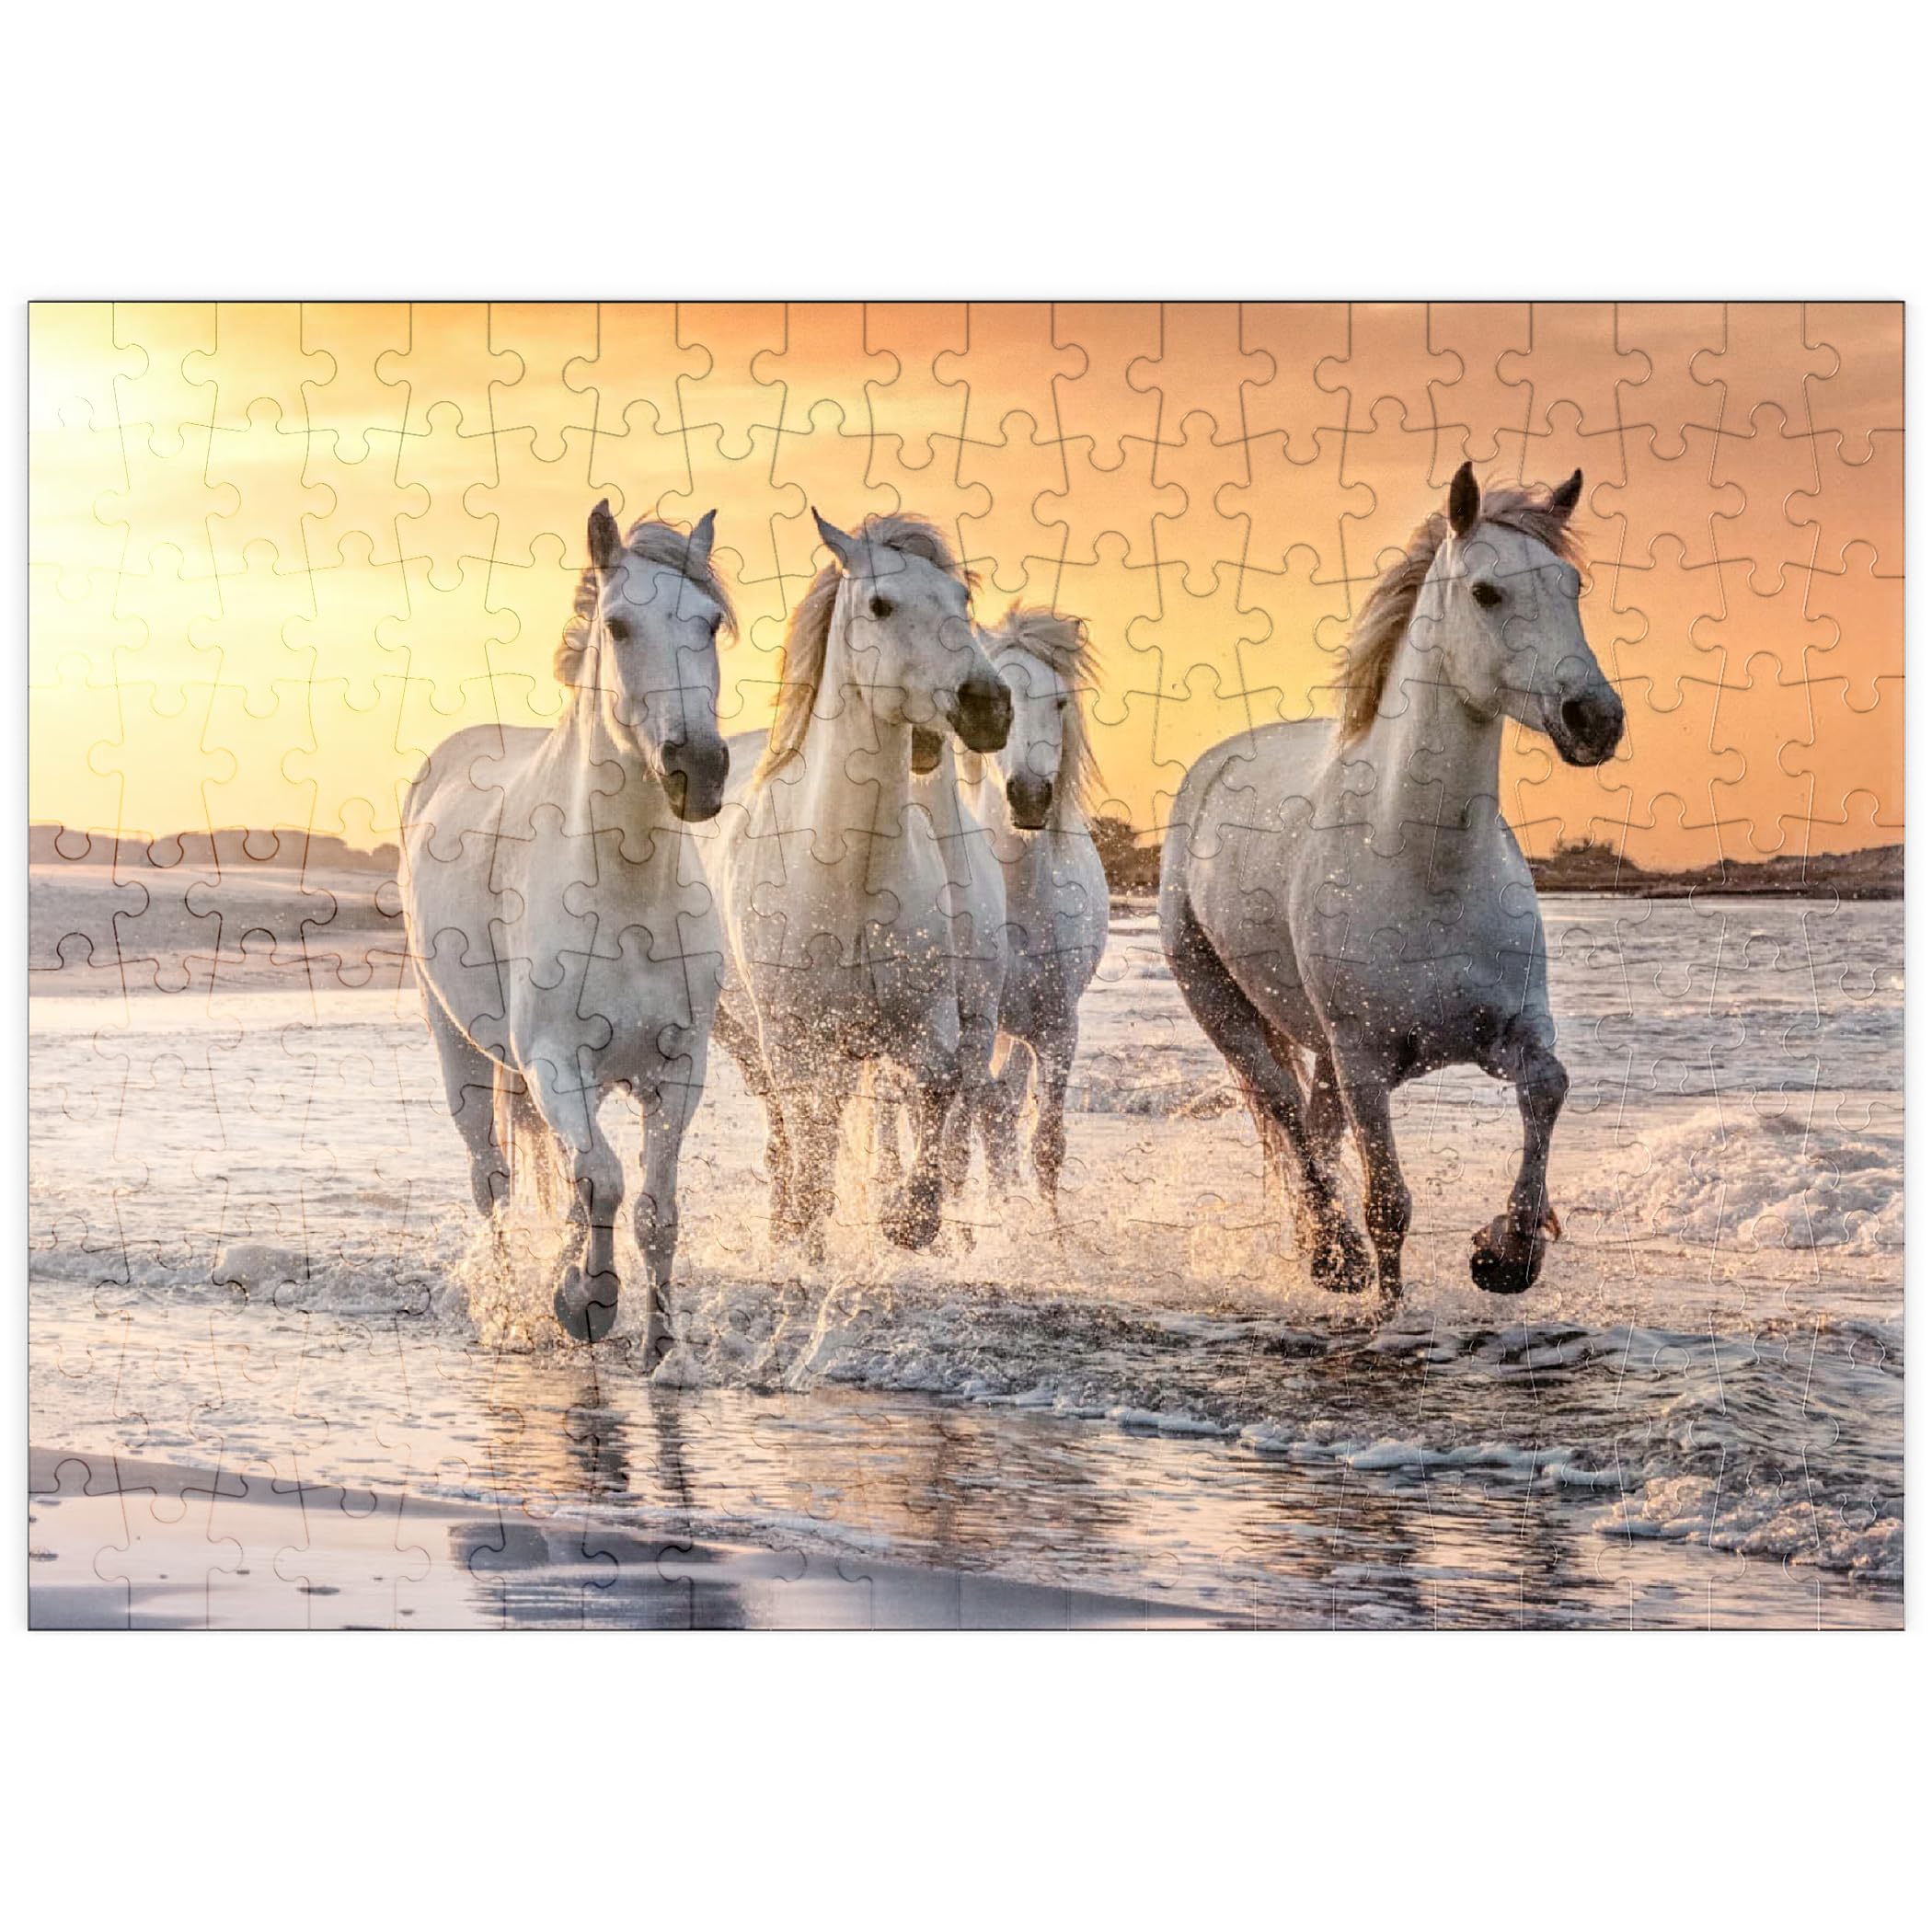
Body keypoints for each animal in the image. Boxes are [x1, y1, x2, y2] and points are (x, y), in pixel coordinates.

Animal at [401, 500, 735, 1358]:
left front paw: (660, 1346)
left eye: (711, 623)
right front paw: (591, 1302)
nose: (699, 769)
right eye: (618, 626)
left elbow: (654, 1208)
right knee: (493, 1180)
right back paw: (513, 1301)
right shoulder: (556, 1063)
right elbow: (605, 1181)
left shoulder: (680, 1071)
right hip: (460, 1054)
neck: (628, 896)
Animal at [712, 510, 1012, 1260]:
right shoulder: (793, 1041)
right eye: (880, 604)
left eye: (962, 600)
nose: (989, 706)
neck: (847, 878)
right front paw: (805, 1232)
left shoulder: (928, 1025)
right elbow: (810, 1139)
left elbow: (935, 1092)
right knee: (787, 1130)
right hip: (747, 1036)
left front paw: (910, 1217)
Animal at [934, 607, 1109, 1217]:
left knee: (1003, 1111)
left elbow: (1046, 1146)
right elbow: (962, 1143)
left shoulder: (1057, 1030)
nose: (1030, 796)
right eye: (1003, 699)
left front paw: (1046, 1232)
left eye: (1060, 703)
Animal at [1159, 464, 1624, 1302]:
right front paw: (1391, 1302)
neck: (1425, 869)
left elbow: (1549, 1087)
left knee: (1312, 1129)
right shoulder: (1366, 1061)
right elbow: (1390, 1207)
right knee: (1286, 1115)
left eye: (1572, 584)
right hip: (1224, 1008)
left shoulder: (1510, 1031)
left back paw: (1318, 1249)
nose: (1595, 718)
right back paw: (1333, 1255)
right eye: (1486, 592)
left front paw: (1508, 1252)